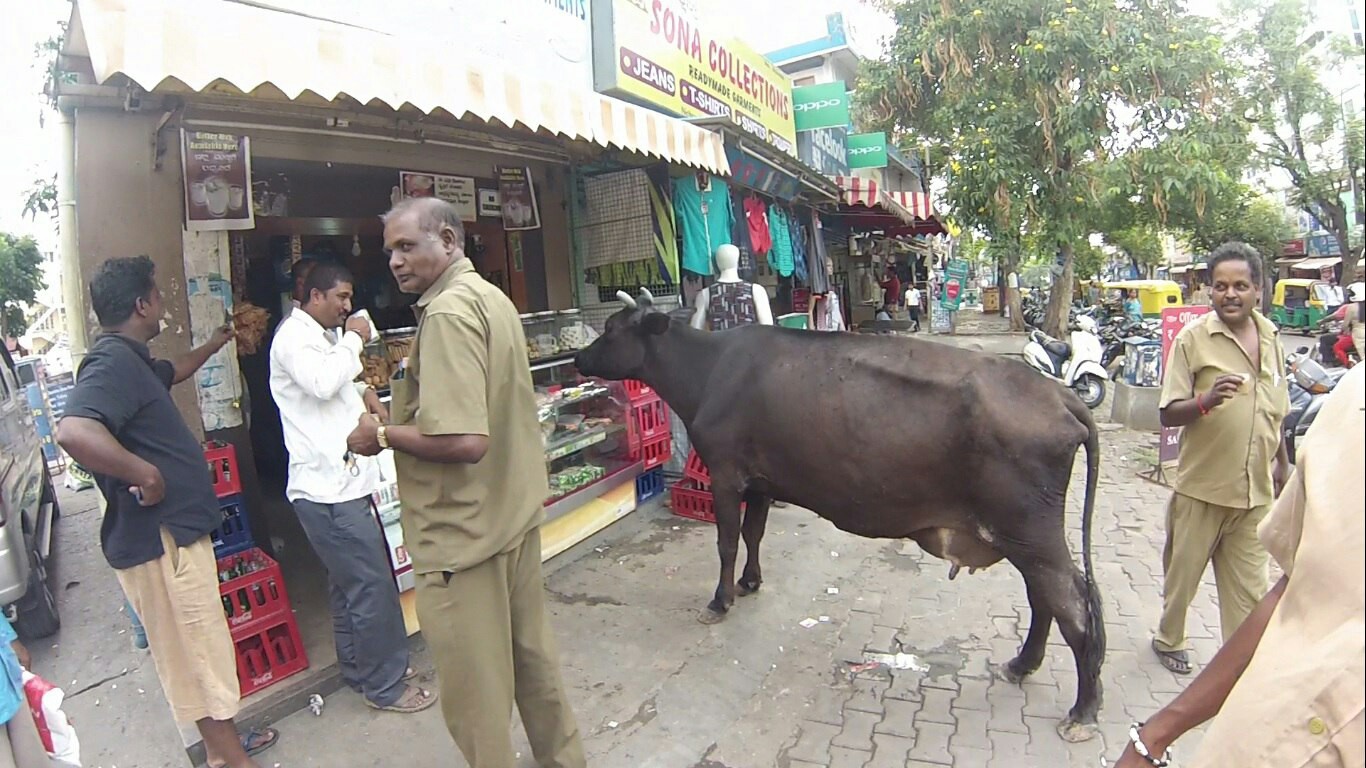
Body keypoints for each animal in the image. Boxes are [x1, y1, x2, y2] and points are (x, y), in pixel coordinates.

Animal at [570, 289, 1103, 737]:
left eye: (613, 328)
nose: (577, 359)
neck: (707, 372)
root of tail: (1061, 395)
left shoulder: (724, 473)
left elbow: (726, 541)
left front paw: (720, 600)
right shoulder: (759, 481)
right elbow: (754, 533)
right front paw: (751, 581)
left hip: (1030, 532)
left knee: (1071, 605)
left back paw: (1082, 710)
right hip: (1022, 536)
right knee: (1045, 598)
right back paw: (1022, 665)